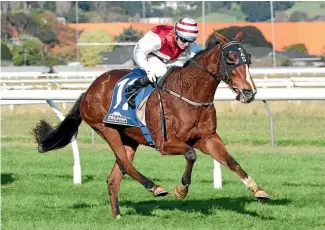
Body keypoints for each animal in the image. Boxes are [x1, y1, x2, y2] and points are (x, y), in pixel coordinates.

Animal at [31, 30, 268, 217]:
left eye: (248, 58)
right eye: (230, 58)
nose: (249, 92)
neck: (189, 95)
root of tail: (89, 90)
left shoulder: (208, 138)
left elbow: (231, 162)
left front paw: (257, 190)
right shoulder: (166, 143)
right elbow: (191, 154)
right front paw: (181, 190)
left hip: (129, 138)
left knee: (114, 176)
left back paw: (117, 216)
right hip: (106, 129)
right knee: (126, 165)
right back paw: (155, 187)